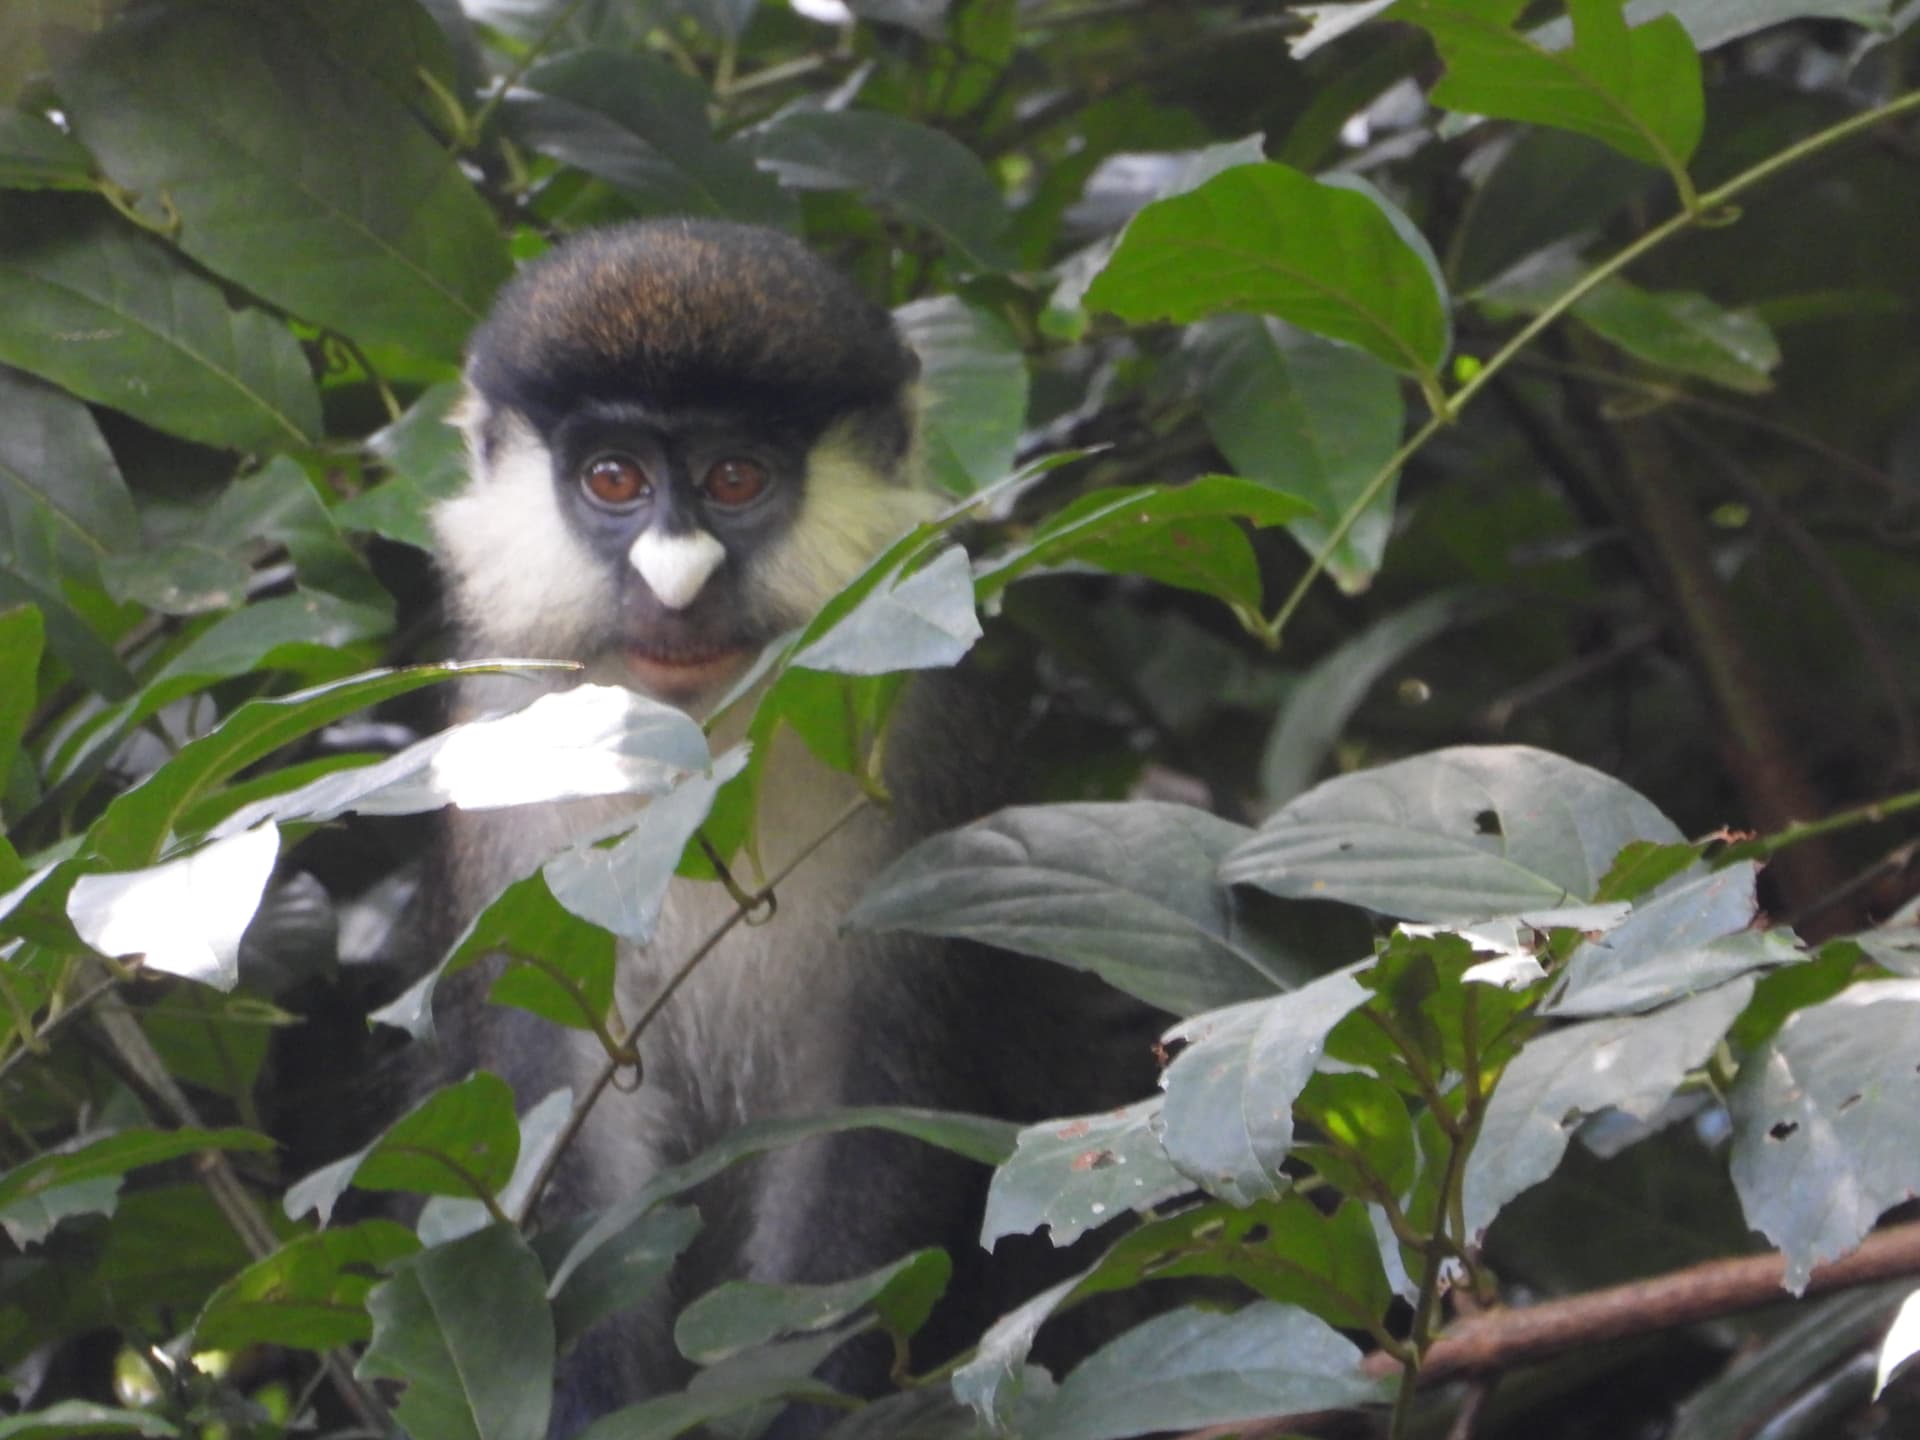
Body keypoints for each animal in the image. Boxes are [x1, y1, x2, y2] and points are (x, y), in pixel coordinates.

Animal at [413, 220, 1156, 1437]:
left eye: (735, 478)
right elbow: (569, 1131)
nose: (677, 581)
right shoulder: (506, 786)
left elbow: (862, 1122)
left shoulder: (912, 752)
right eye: (613, 478)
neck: (701, 754)